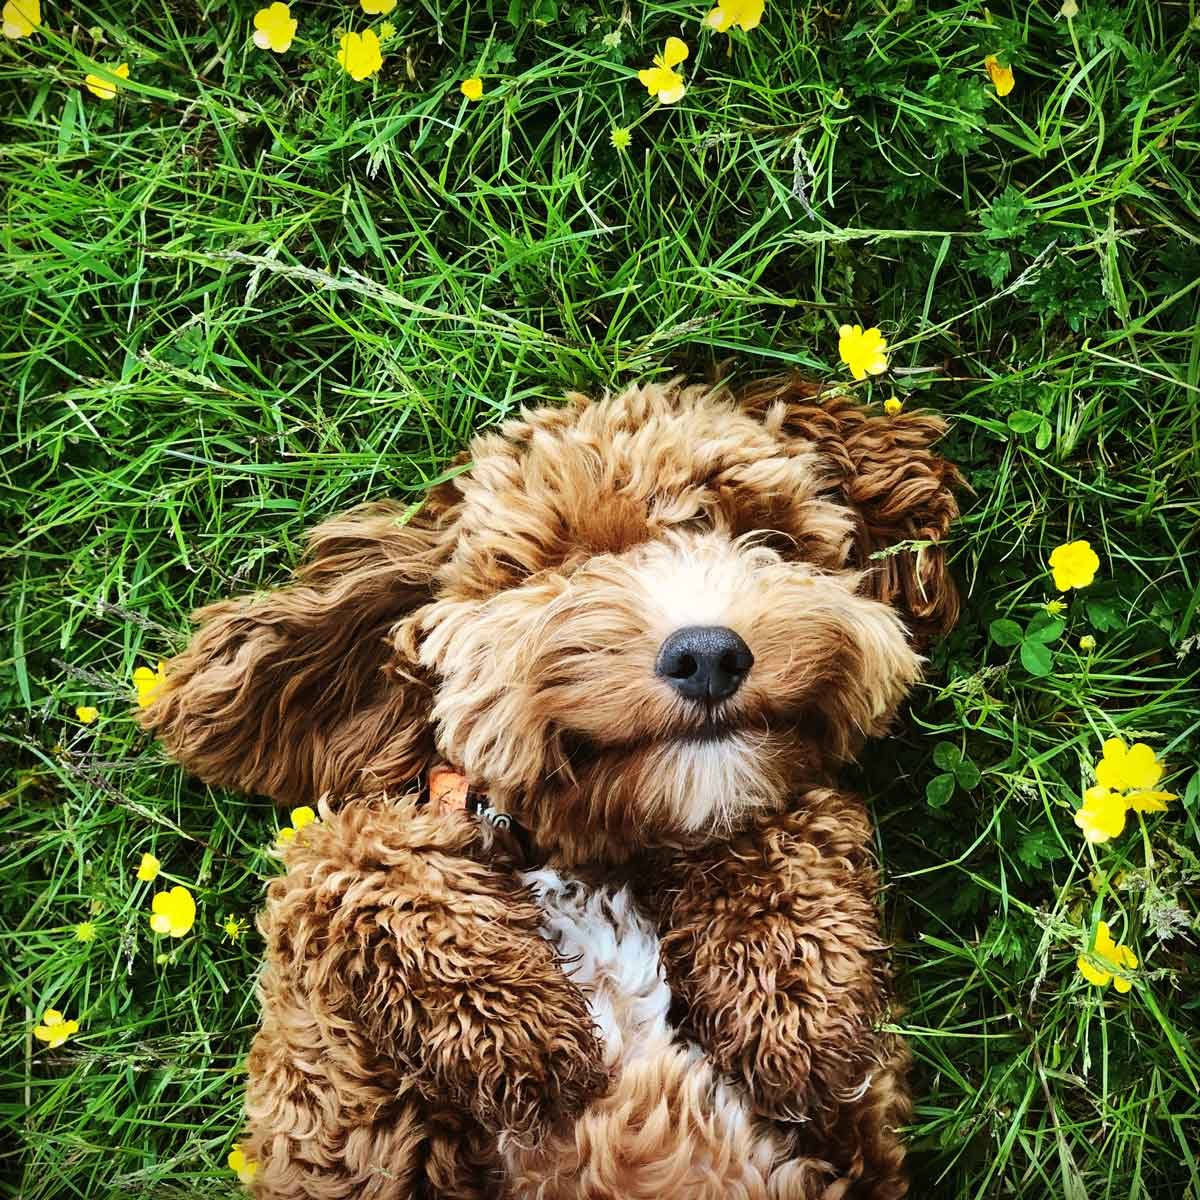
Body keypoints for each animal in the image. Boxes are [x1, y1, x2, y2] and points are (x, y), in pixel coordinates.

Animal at [140, 379, 960, 1200]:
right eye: (568, 562)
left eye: (767, 538)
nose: (707, 654)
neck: (584, 871)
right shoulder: (334, 1121)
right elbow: (342, 854)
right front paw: (513, 1026)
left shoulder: (855, 1137)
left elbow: (798, 821)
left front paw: (791, 998)